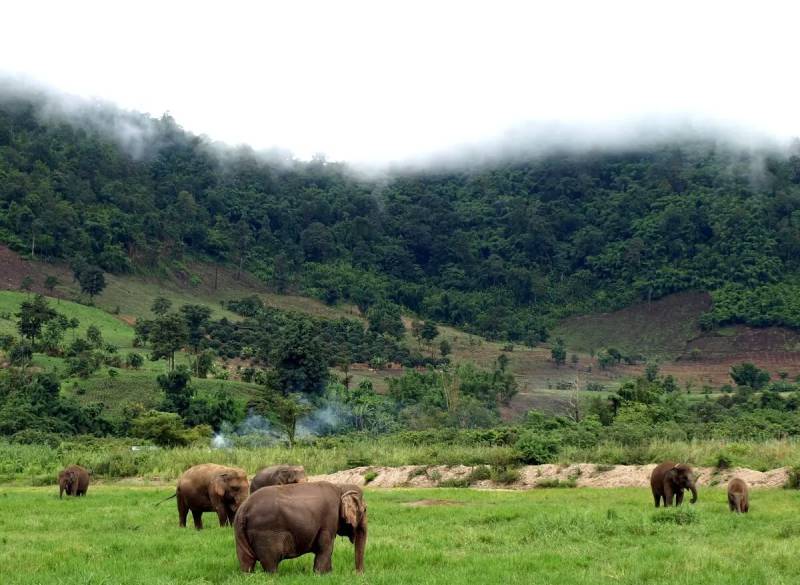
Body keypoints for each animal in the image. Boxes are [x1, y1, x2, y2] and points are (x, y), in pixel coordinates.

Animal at [233, 482, 368, 572]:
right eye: (365, 510)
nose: (357, 574)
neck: (340, 487)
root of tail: (244, 508)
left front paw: (329, 573)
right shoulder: (329, 520)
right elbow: (326, 547)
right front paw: (321, 574)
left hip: (239, 532)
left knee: (246, 560)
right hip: (265, 533)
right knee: (270, 562)